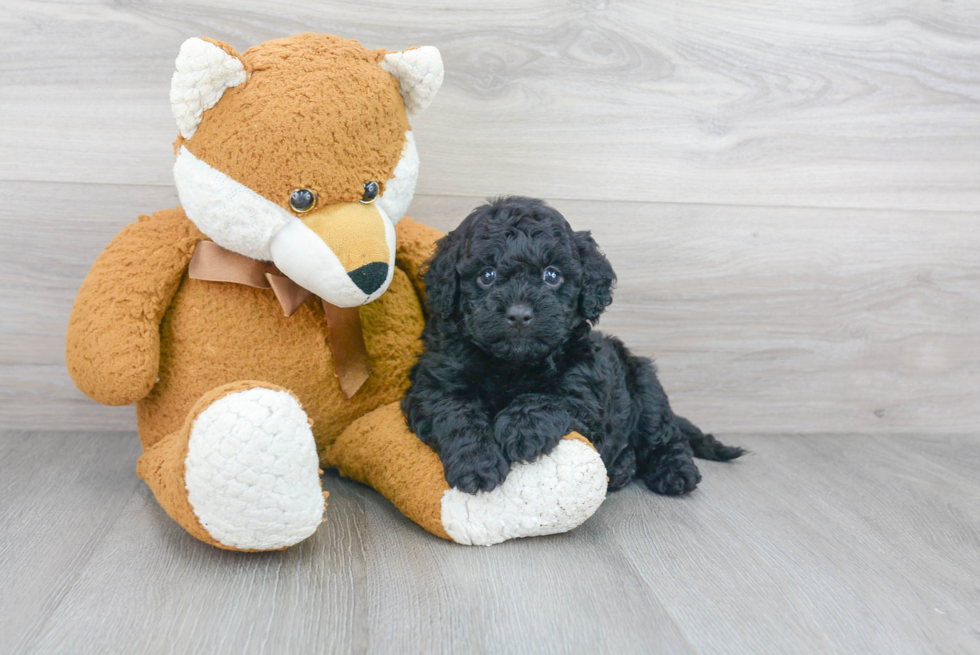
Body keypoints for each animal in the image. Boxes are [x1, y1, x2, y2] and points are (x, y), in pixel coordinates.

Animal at [400, 197, 744, 494]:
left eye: (552, 275)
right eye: (487, 275)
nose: (520, 314)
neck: (512, 364)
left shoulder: (585, 387)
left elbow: (553, 397)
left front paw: (521, 429)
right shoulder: (433, 385)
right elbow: (456, 414)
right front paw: (477, 464)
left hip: (646, 388)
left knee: (667, 437)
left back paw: (674, 472)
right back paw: (622, 469)